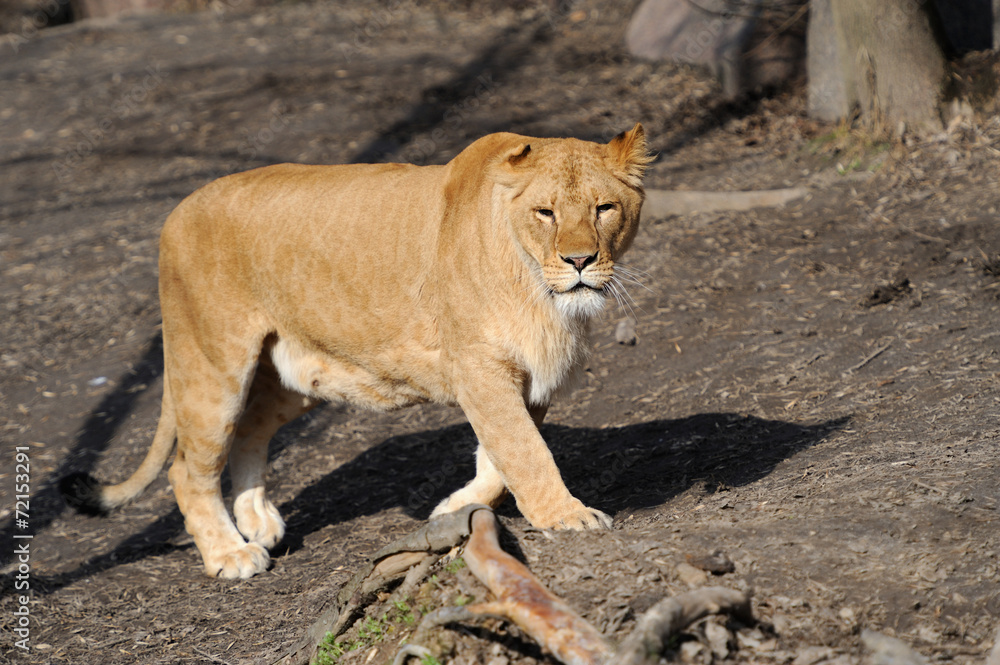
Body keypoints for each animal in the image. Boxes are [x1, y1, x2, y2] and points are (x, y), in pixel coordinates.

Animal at [61, 124, 651, 579]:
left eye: (604, 209)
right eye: (545, 213)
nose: (580, 261)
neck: (540, 291)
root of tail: (176, 211)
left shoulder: (528, 376)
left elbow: (500, 459)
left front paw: (456, 508)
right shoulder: (479, 367)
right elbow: (525, 453)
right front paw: (567, 517)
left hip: (295, 375)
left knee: (250, 430)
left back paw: (258, 521)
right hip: (212, 363)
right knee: (188, 469)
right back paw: (230, 554)